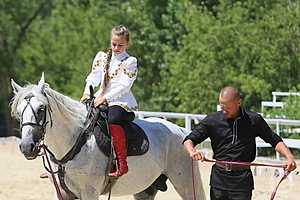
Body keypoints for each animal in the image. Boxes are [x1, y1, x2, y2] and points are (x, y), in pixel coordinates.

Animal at [9, 74, 206, 200]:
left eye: (41, 108)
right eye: (19, 112)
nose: (27, 146)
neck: (76, 141)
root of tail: (182, 132)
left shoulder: (89, 193)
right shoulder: (62, 194)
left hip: (186, 183)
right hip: (146, 190)